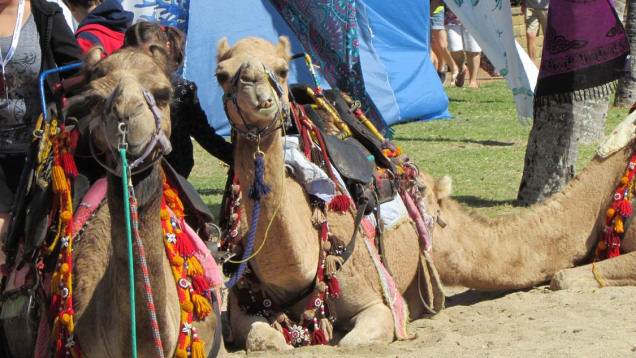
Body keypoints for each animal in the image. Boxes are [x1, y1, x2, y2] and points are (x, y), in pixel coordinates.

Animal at [215, 36, 636, 352]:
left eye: (282, 69)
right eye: (220, 74)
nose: (257, 91)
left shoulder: (376, 300)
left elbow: (354, 340)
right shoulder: (242, 306)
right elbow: (264, 339)